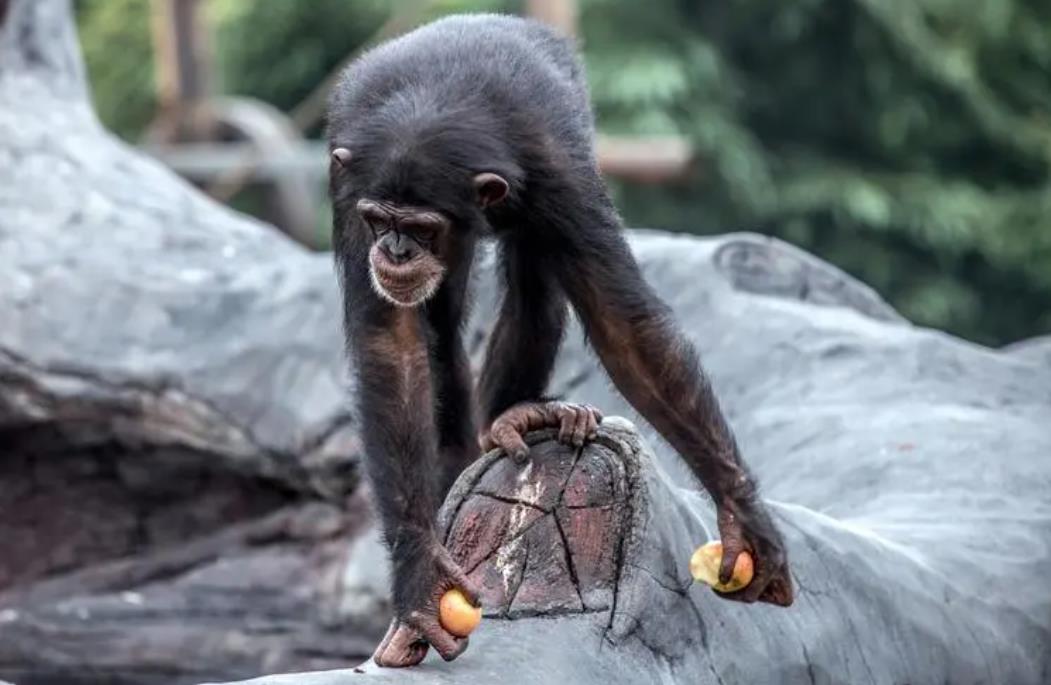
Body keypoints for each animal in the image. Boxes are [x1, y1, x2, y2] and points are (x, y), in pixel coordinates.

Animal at [323, 13, 790, 668]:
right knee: (438, 330)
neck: (432, 102)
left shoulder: (560, 172)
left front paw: (742, 512)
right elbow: (391, 344)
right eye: (378, 219)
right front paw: (419, 572)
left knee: (534, 272)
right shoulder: (349, 182)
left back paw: (513, 415)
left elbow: (622, 323)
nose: (394, 250)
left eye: (420, 227)